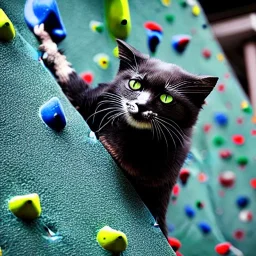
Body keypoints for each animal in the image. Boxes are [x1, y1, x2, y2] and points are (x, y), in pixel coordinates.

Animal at [33, 24, 218, 238]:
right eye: (135, 84)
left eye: (166, 98)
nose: (141, 105)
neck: (135, 139)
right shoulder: (88, 99)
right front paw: (48, 44)